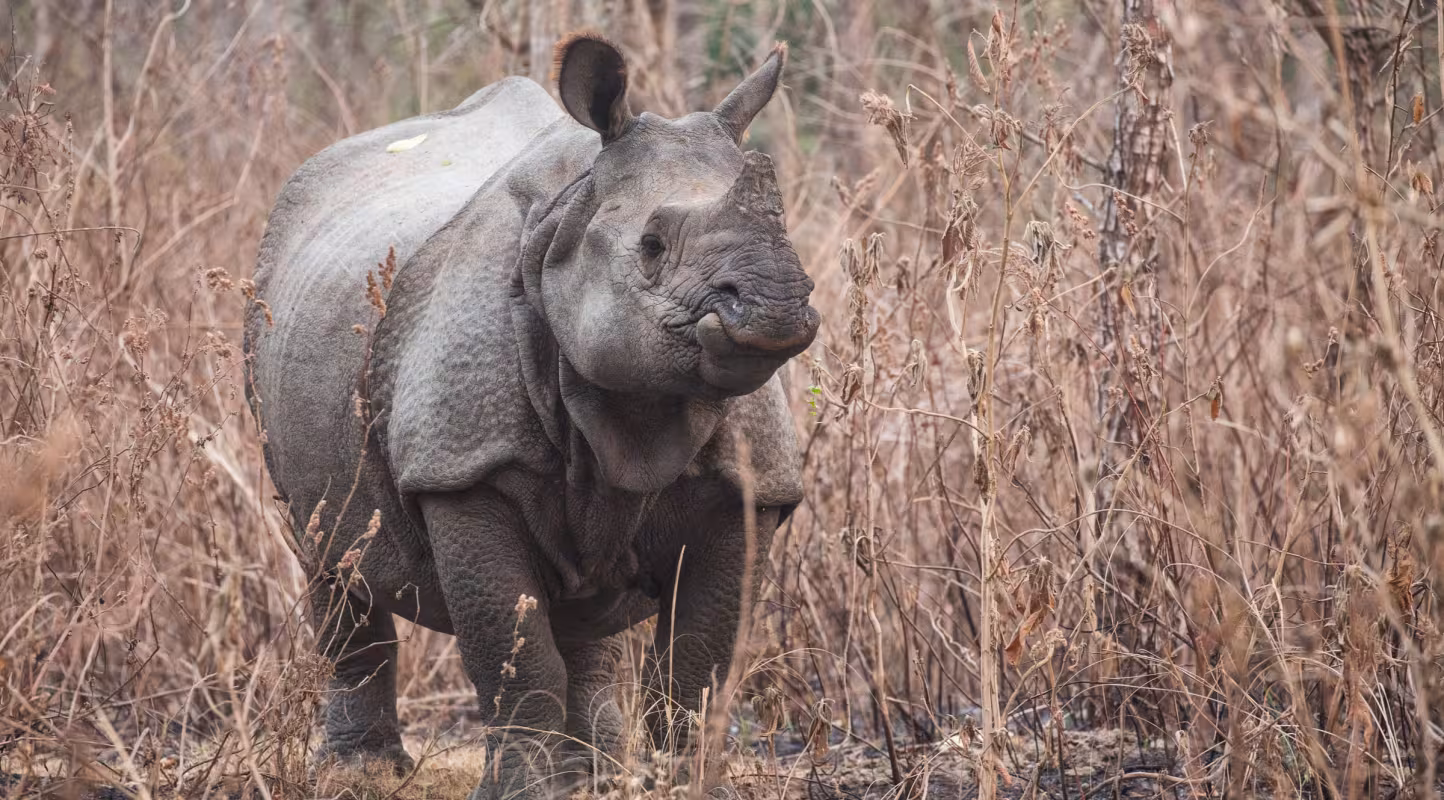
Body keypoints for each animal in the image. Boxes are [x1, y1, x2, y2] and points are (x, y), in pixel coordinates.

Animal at [243, 32, 818, 800]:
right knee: (329, 556)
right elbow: (513, 653)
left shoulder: (747, 485)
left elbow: (697, 664)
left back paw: (593, 772)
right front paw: (518, 791)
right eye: (652, 246)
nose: (775, 304)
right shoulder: (462, 466)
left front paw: (682, 784)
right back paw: (362, 772)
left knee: (585, 603)